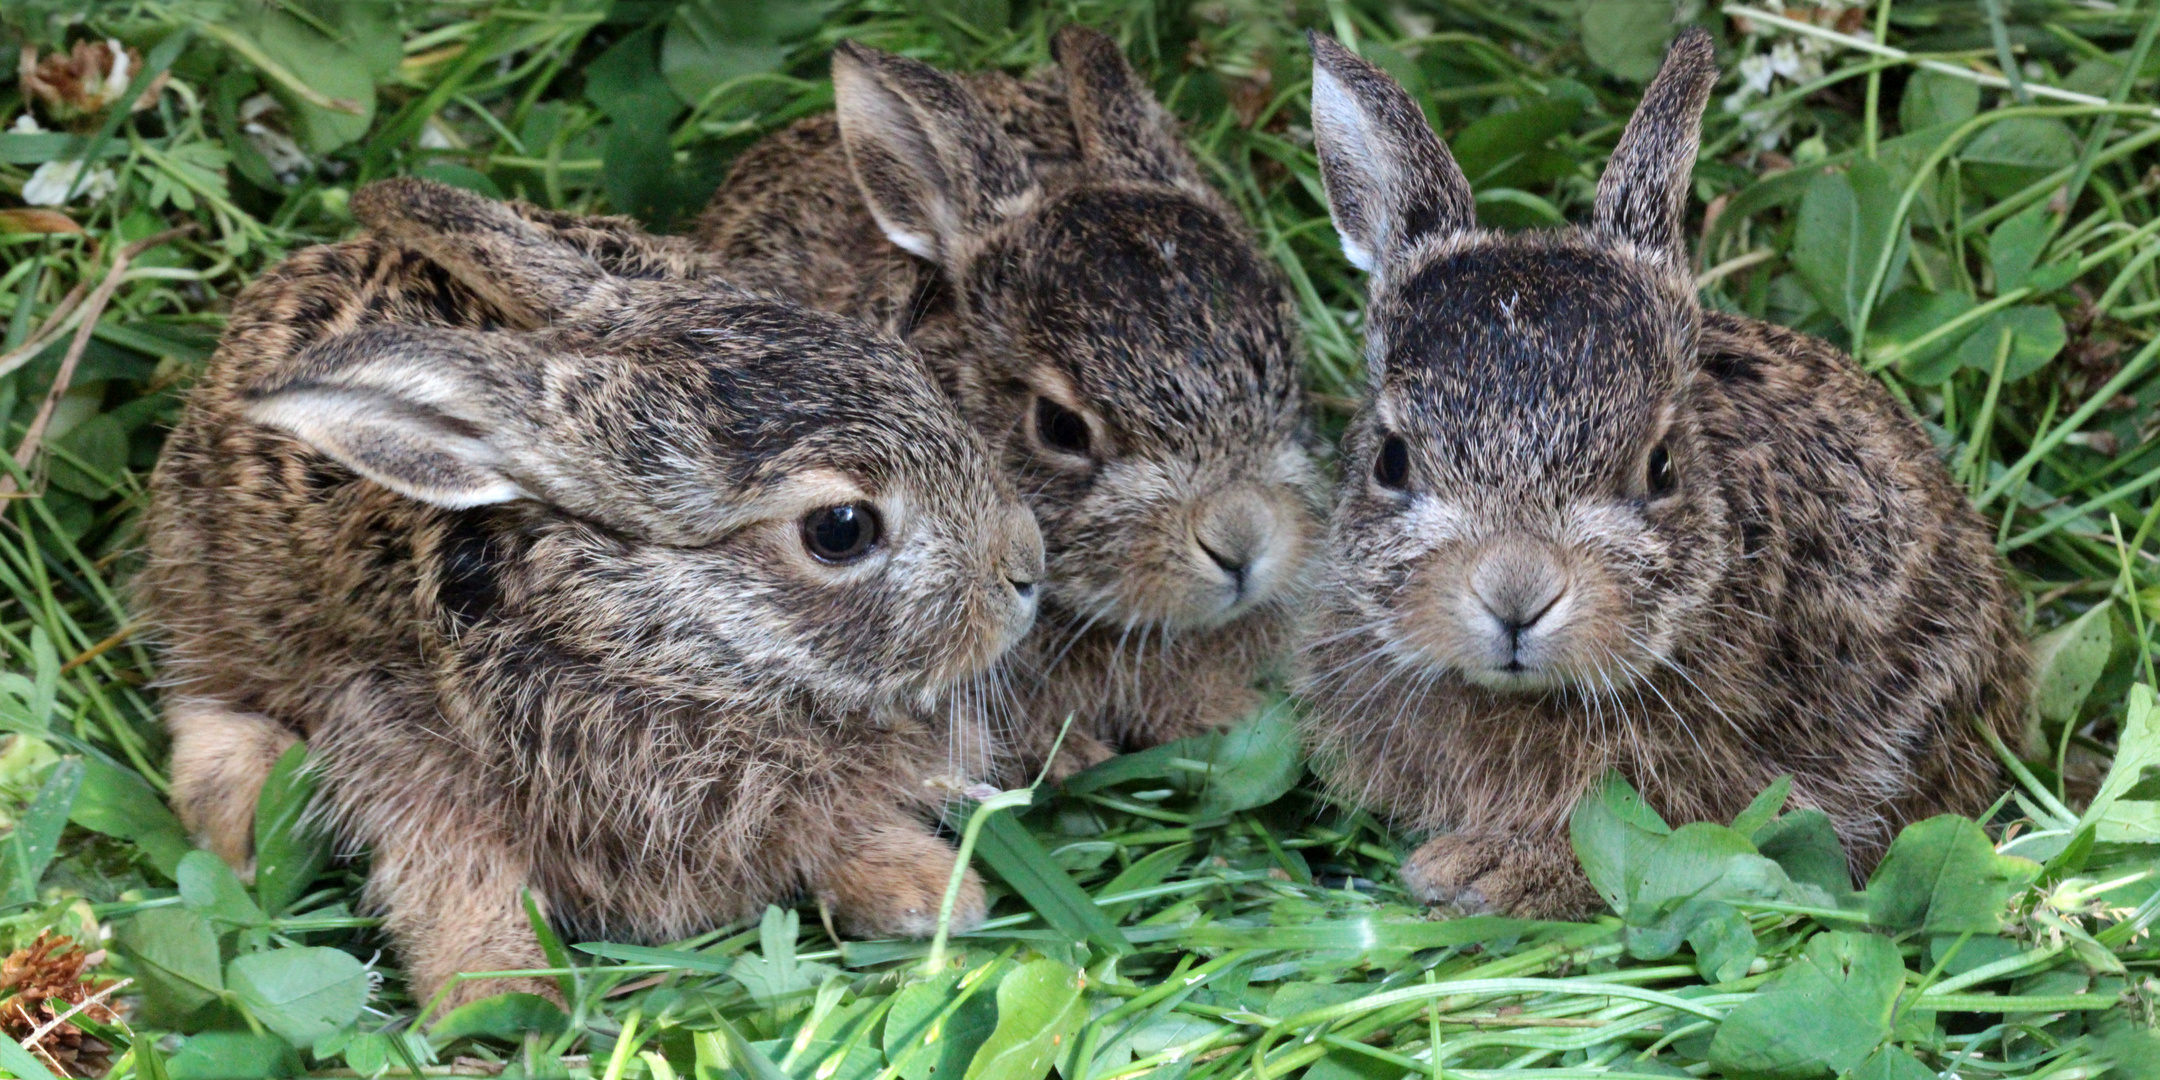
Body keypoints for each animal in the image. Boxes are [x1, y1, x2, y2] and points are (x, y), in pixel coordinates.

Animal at [137, 177, 1045, 1002]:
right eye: (841, 529)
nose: (1025, 569)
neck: (656, 643)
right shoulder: (400, 743)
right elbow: (457, 881)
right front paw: (497, 996)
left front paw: (930, 891)